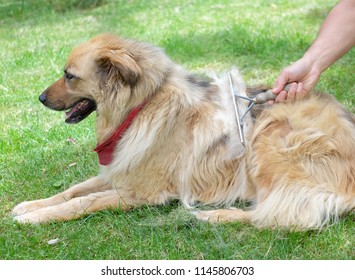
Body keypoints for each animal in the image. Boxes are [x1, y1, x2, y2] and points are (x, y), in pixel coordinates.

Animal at [11, 33, 355, 230]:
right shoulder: (121, 169)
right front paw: (31, 205)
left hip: (270, 139)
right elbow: (73, 190)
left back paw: (216, 216)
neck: (142, 106)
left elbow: (85, 202)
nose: (39, 98)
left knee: (288, 215)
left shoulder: (142, 192)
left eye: (69, 75)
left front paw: (34, 218)